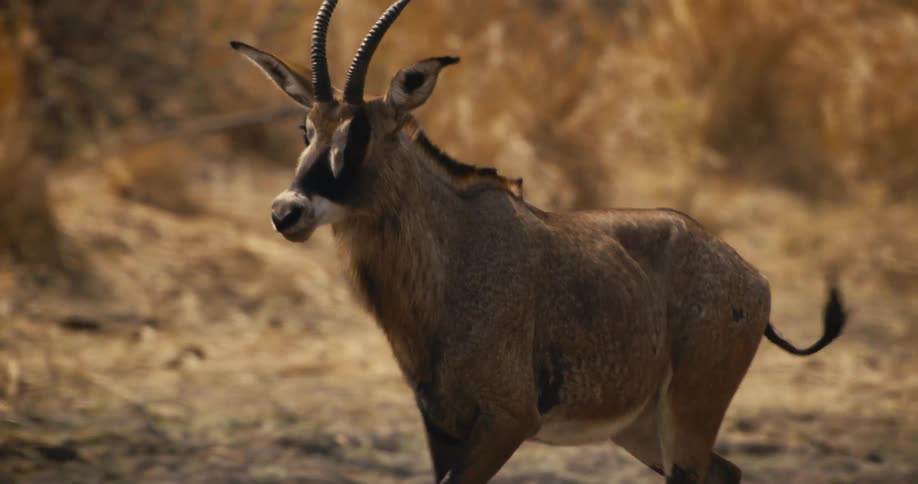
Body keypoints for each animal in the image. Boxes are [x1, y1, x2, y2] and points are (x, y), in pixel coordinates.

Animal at [230, 1, 846, 482]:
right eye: (307, 130)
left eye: (359, 135)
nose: (286, 212)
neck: (454, 254)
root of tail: (752, 281)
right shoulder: (442, 426)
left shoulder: (507, 421)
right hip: (644, 429)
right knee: (729, 471)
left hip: (687, 421)